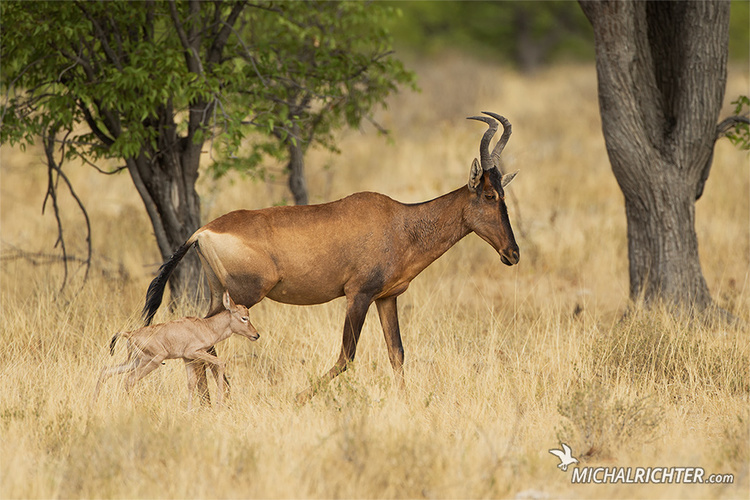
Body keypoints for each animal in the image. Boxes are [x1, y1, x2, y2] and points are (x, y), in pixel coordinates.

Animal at [94, 292, 260, 408]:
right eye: (244, 318)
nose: (256, 335)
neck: (206, 326)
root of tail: (130, 334)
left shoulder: (187, 359)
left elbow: (191, 383)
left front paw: (189, 410)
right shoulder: (195, 353)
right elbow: (220, 363)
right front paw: (219, 405)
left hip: (135, 361)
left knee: (106, 370)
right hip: (153, 360)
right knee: (129, 379)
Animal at [144, 110, 524, 402]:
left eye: (503, 192)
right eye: (489, 195)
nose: (513, 253)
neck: (400, 221)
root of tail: (202, 231)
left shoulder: (386, 298)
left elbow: (397, 353)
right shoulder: (358, 296)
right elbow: (346, 356)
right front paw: (297, 399)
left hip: (219, 294)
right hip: (242, 296)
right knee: (203, 341)